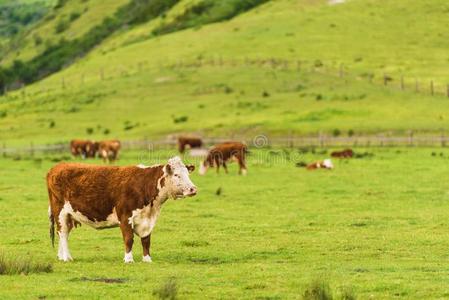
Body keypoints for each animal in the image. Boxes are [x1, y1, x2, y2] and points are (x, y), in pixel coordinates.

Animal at [46, 157, 198, 262]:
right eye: (177, 175)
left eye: (188, 174)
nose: (193, 189)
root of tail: (57, 167)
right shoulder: (125, 217)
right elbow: (129, 239)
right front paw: (129, 259)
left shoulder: (147, 220)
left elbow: (146, 240)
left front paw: (147, 259)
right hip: (60, 212)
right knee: (63, 233)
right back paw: (67, 257)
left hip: (69, 215)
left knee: (64, 233)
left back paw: (61, 256)